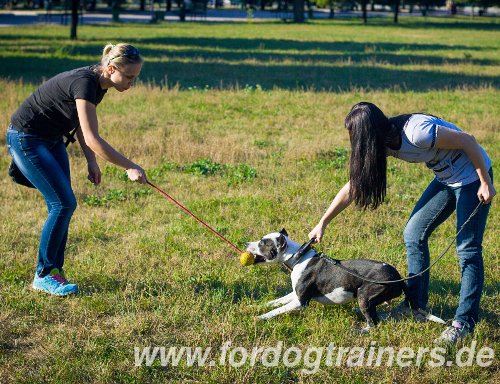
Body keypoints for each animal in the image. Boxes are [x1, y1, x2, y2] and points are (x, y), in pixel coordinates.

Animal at [244, 230, 444, 332]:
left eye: (262, 243)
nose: (245, 243)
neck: (297, 257)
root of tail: (400, 278)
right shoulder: (294, 295)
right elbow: (275, 302)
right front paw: (253, 307)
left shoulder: (301, 302)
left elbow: (277, 310)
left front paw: (260, 318)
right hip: (370, 298)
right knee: (380, 315)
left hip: (364, 294)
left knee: (374, 323)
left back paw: (359, 329)